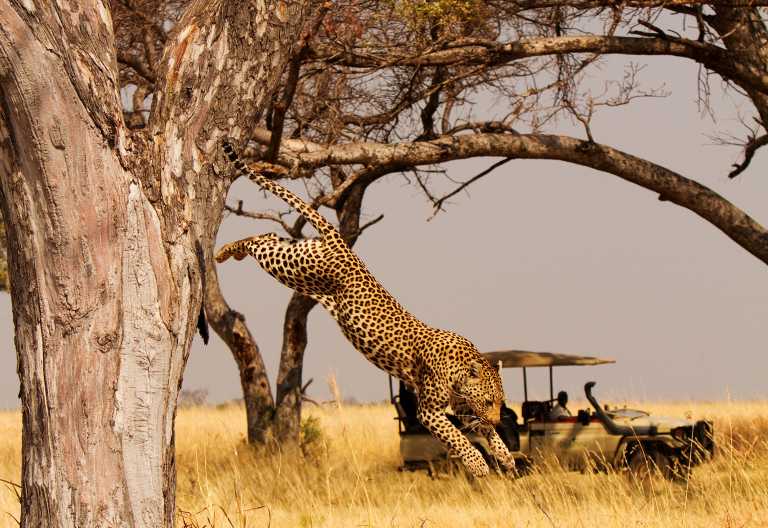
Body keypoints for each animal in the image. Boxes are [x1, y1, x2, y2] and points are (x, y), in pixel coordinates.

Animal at [215, 141, 515, 477]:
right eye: (488, 401)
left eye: (500, 402)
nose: (498, 418)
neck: (461, 368)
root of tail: (341, 243)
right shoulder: (428, 411)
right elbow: (458, 437)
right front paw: (478, 464)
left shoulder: (461, 406)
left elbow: (482, 431)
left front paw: (505, 454)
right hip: (296, 268)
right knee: (260, 242)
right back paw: (224, 252)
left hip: (298, 256)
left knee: (267, 236)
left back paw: (228, 251)